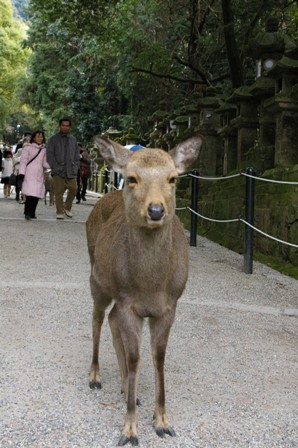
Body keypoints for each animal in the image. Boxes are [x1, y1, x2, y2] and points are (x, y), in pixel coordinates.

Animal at [85, 135, 204, 446]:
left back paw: (127, 388)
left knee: (111, 319)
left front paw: (162, 421)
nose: (156, 210)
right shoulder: (129, 303)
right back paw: (95, 376)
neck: (151, 286)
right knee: (98, 318)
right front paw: (129, 430)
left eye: (173, 178)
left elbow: (158, 358)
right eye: (132, 178)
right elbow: (135, 357)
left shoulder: (169, 306)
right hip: (97, 278)